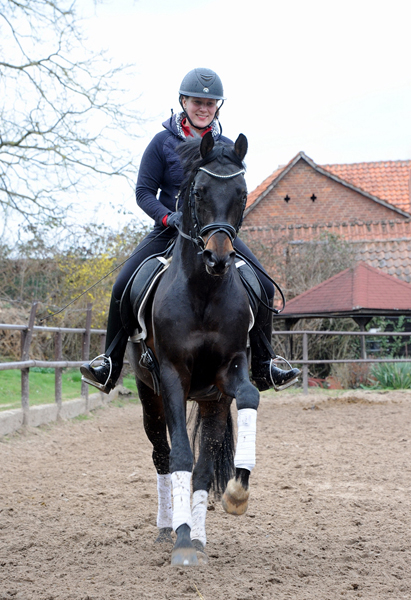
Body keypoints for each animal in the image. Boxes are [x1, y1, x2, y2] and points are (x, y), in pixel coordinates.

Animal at [127, 132, 260, 568]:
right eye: (199, 191)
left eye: (242, 193)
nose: (217, 257)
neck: (203, 290)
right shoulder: (171, 375)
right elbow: (180, 456)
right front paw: (181, 540)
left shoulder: (229, 372)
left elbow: (250, 397)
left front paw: (237, 493)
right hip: (149, 395)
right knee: (162, 455)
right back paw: (168, 528)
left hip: (211, 401)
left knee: (203, 467)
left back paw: (198, 534)